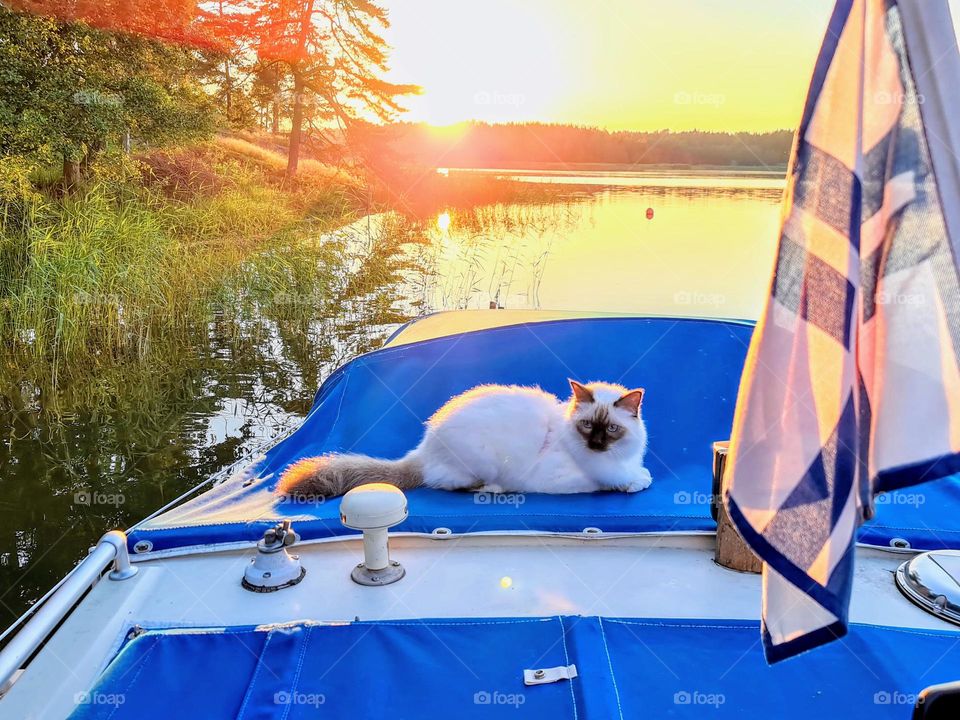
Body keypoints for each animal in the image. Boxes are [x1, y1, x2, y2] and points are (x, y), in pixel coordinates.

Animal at [278, 380, 652, 498]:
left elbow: (637, 475)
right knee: (452, 484)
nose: (596, 445)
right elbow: (610, 484)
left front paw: (639, 477)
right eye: (588, 426)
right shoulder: (569, 481)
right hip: (482, 461)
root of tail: (424, 446)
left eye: (612, 430)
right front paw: (633, 483)